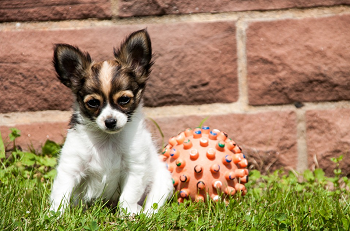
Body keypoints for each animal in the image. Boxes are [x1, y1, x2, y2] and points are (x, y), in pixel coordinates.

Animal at [49, 28, 174, 215]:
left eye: (124, 100)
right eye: (93, 103)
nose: (110, 121)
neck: (107, 140)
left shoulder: (135, 168)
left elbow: (127, 197)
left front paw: (127, 214)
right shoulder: (71, 166)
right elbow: (61, 193)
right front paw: (55, 215)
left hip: (162, 182)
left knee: (153, 204)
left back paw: (145, 213)